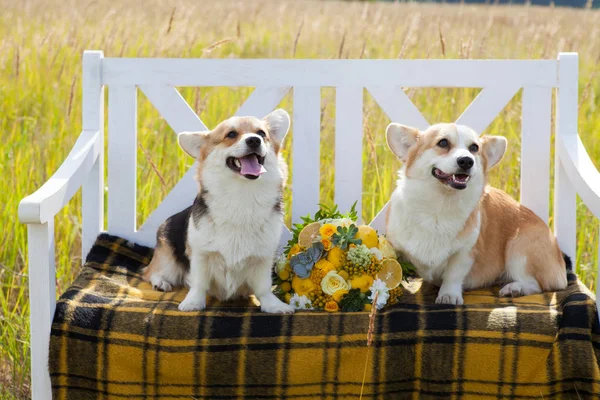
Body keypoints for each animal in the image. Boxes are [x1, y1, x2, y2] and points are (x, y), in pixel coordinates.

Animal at [144, 110, 298, 316]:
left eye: (262, 133)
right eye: (231, 134)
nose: (254, 140)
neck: (242, 196)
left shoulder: (263, 258)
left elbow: (264, 287)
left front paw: (273, 305)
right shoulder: (201, 254)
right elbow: (199, 283)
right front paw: (193, 303)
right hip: (168, 260)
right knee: (150, 272)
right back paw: (160, 282)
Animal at [384, 122, 568, 304]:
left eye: (474, 148)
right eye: (443, 143)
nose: (467, 161)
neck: (439, 206)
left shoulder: (465, 252)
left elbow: (453, 274)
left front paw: (449, 295)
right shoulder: (396, 248)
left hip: (519, 249)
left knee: (537, 284)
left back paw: (514, 288)